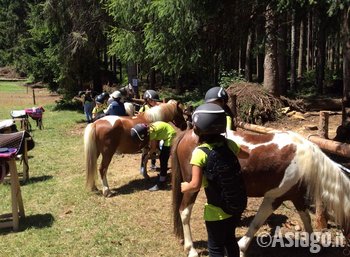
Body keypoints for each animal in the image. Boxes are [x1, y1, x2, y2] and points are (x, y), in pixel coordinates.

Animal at [172, 128, 350, 256]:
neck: (307, 163)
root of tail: (187, 133)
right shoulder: (273, 198)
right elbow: (257, 223)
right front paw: (241, 248)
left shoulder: (297, 197)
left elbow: (306, 220)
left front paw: (315, 245)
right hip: (192, 187)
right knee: (184, 212)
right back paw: (191, 250)